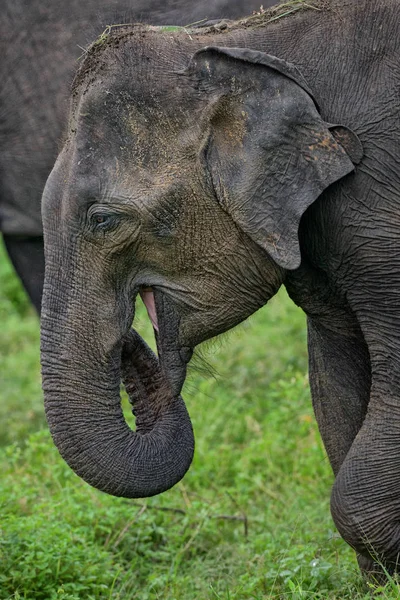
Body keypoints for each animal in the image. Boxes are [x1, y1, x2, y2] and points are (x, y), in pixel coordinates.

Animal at [39, 0, 400, 580]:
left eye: (103, 220)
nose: (128, 339)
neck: (245, 43)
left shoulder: (380, 200)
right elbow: (335, 378)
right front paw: (380, 581)